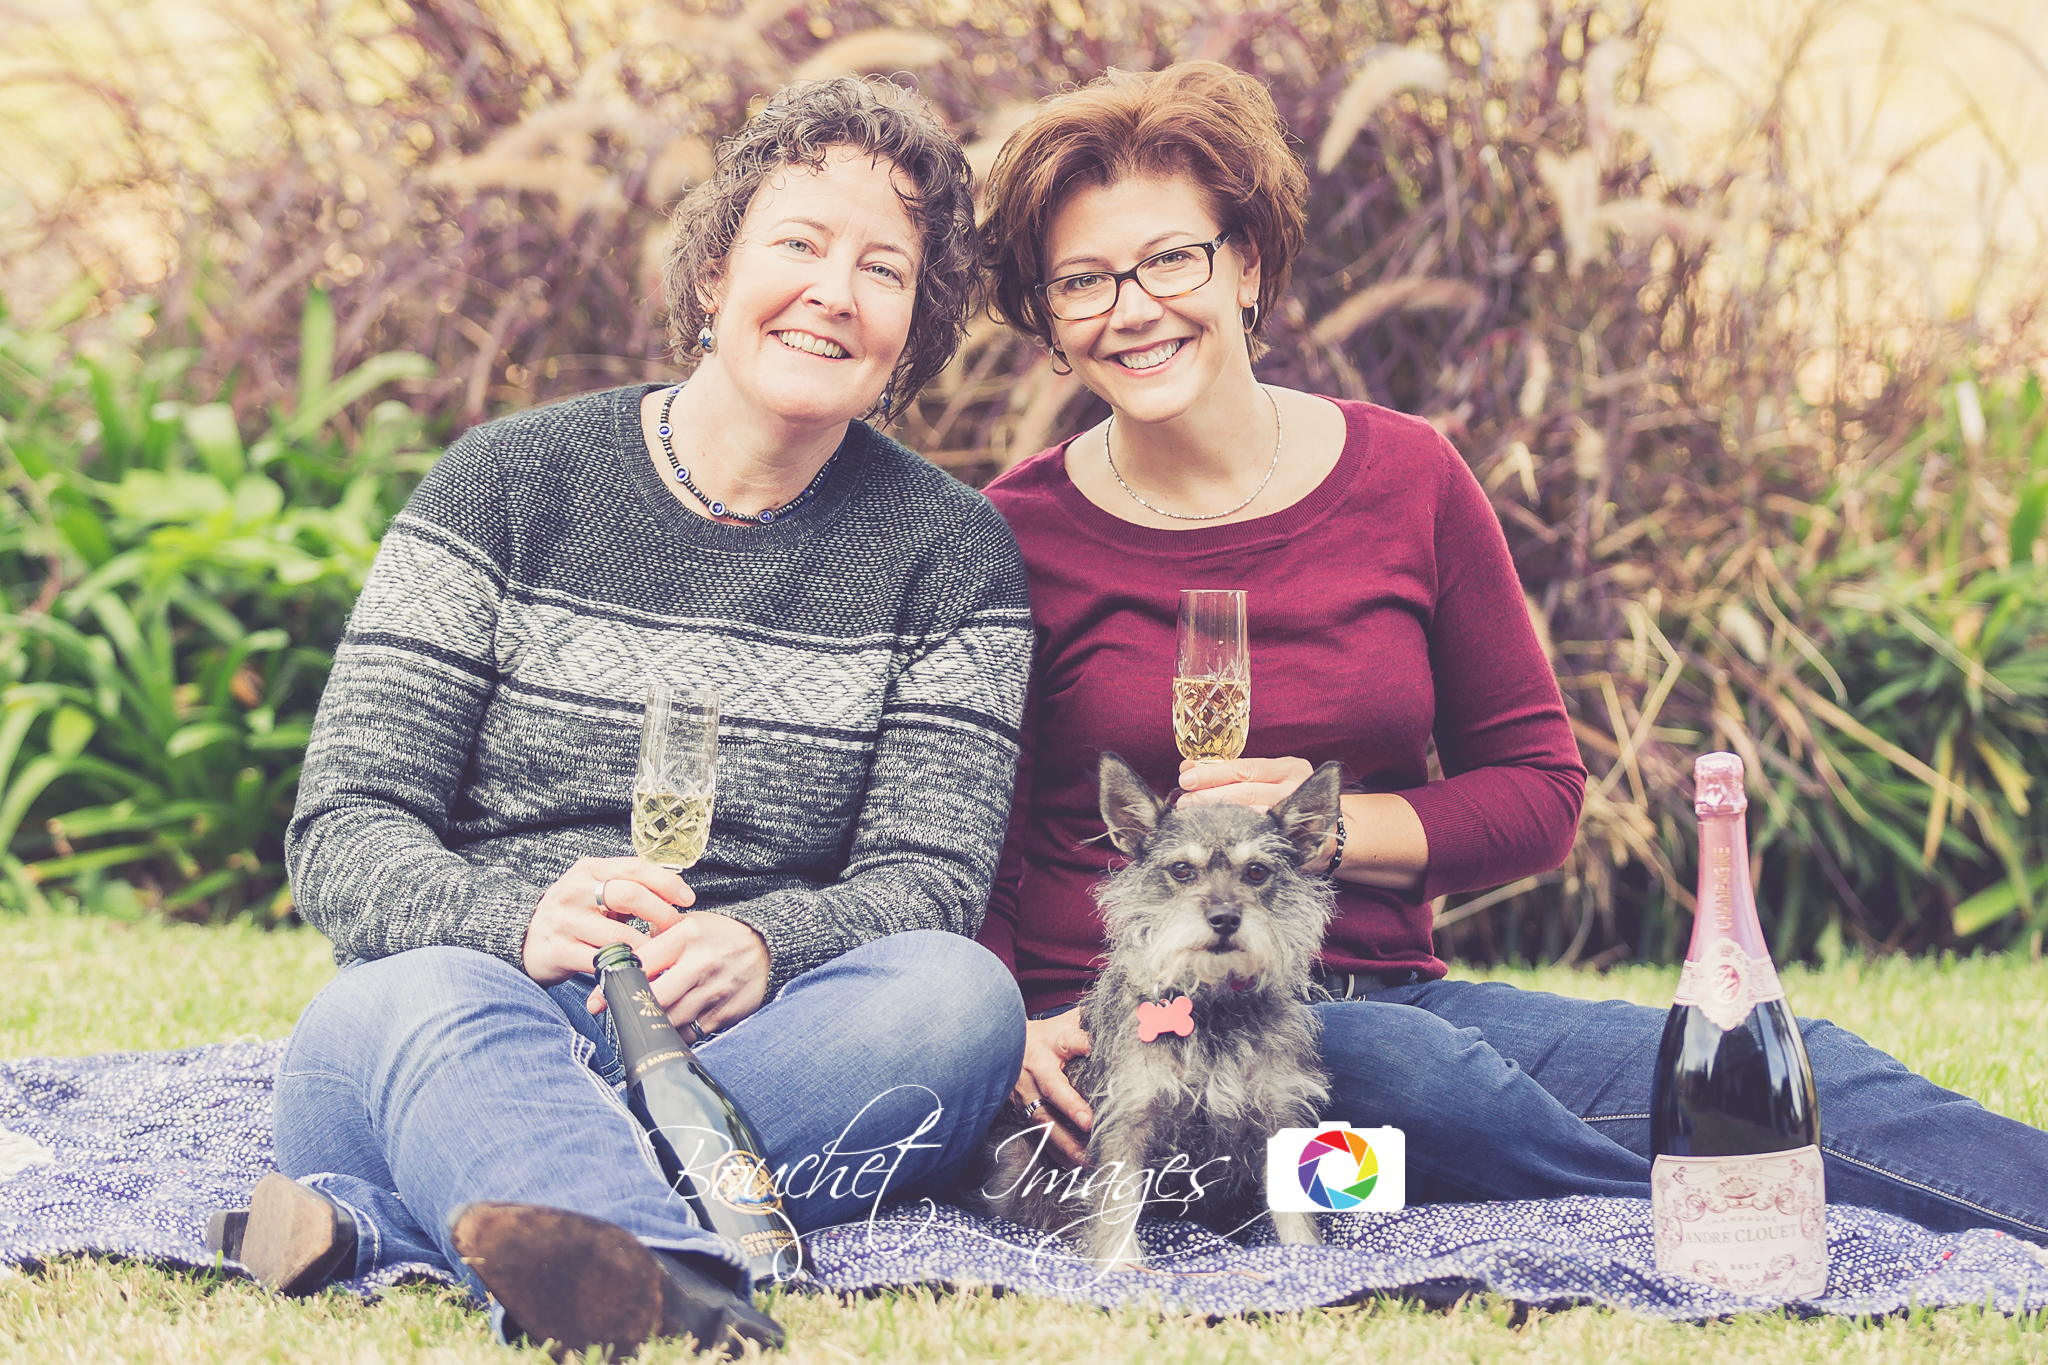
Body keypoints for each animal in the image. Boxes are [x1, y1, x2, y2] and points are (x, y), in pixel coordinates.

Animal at [976, 752, 1343, 1270]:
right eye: (1182, 870)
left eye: (1256, 872)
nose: (1225, 918)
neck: (1211, 1006)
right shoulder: (1127, 1119)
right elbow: (1114, 1209)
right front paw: (1120, 1266)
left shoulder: (1279, 1113)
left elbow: (1295, 1214)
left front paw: (1306, 1259)